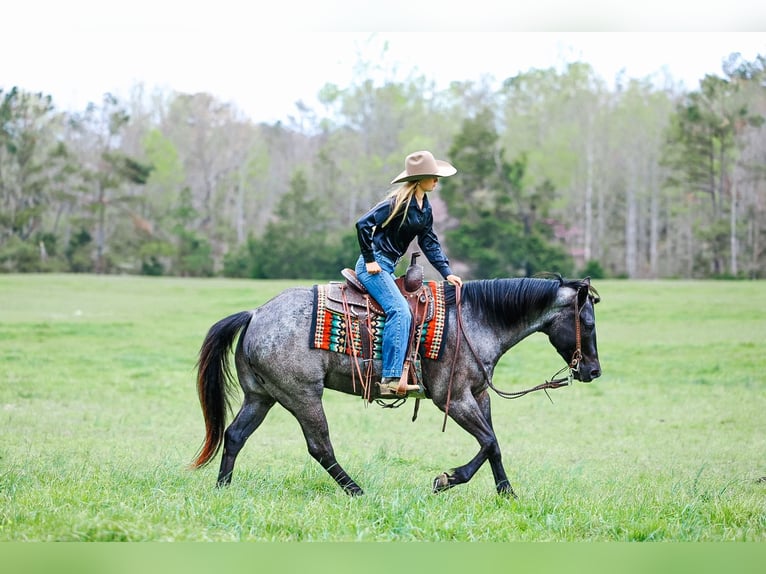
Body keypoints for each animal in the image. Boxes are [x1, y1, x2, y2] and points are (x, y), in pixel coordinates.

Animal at [190, 275, 601, 496]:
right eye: (589, 323)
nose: (593, 371)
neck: (475, 320)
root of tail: (256, 313)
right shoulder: (453, 400)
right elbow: (488, 441)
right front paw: (447, 479)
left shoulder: (478, 395)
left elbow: (494, 445)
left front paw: (507, 493)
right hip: (302, 395)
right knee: (320, 447)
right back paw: (357, 492)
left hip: (261, 396)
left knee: (235, 435)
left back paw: (223, 488)